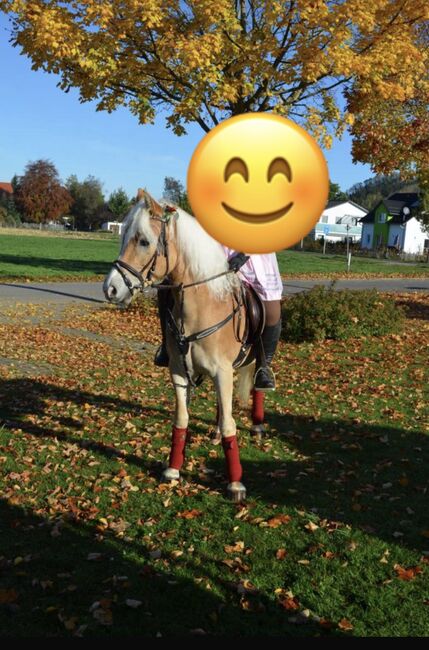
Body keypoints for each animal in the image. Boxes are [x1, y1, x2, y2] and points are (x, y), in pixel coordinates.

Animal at [103, 187, 266, 502]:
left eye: (144, 241)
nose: (111, 289)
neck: (200, 308)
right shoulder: (179, 371)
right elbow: (181, 419)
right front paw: (173, 469)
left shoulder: (222, 371)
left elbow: (230, 423)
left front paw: (235, 484)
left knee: (257, 385)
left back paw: (257, 424)